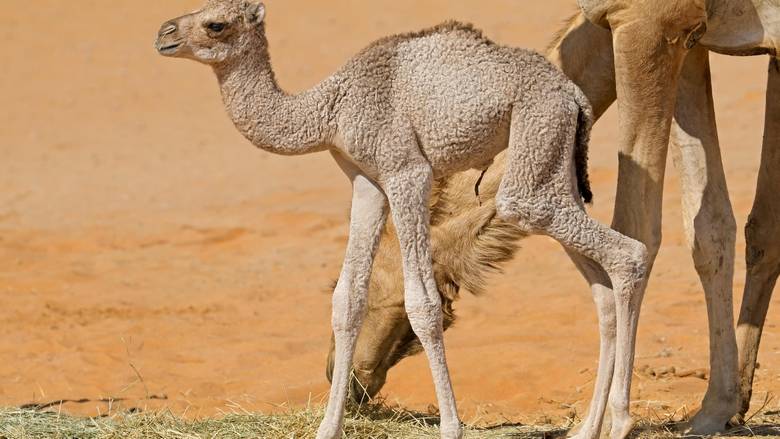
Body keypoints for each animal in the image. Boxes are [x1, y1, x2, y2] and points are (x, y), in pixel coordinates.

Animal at [154, 1, 644, 438]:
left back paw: (621, 421)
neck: (331, 109)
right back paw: (589, 428)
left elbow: (422, 304)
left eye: (216, 24)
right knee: (600, 285)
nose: (164, 33)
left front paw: (450, 428)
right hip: (551, 164)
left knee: (628, 252)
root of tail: (572, 95)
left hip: (534, 148)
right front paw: (328, 428)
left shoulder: (407, 172)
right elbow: (347, 299)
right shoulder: (365, 180)